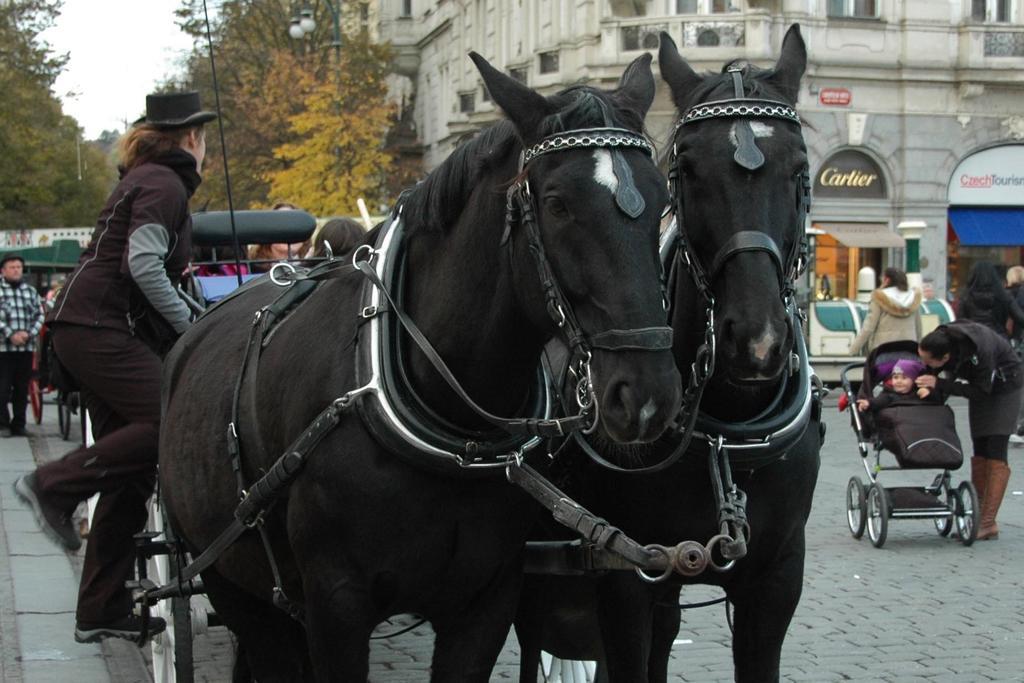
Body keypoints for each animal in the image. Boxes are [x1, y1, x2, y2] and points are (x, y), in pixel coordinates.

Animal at [159, 50, 679, 679]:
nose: (646, 393)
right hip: (228, 576)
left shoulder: (486, 602)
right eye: (557, 204)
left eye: (662, 200)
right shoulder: (335, 606)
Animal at [516, 25, 819, 683]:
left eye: (800, 169)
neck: (726, 438)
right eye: (687, 167)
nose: (755, 338)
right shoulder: (626, 576)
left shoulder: (776, 580)